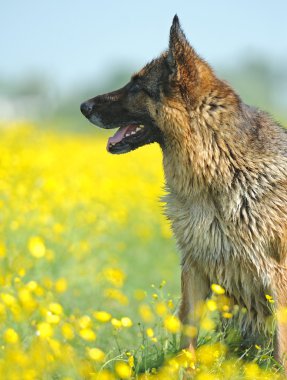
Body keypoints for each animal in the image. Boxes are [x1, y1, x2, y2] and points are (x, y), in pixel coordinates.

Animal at [80, 15, 287, 372]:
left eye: (136, 87)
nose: (83, 106)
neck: (219, 166)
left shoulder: (277, 274)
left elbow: (282, 345)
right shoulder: (194, 265)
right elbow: (187, 332)